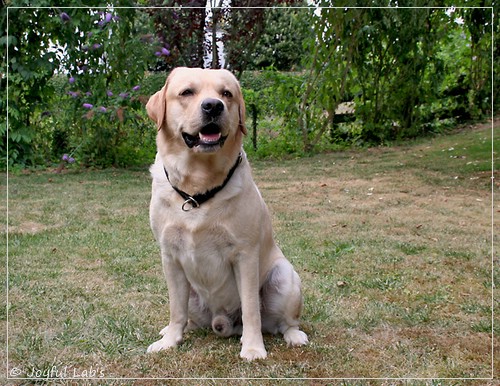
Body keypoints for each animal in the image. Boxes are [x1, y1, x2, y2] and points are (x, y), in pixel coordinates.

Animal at [146, 68, 308, 360]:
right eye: (187, 92)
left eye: (226, 94)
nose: (213, 106)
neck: (197, 191)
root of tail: (223, 320)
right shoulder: (170, 257)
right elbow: (176, 309)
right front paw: (170, 341)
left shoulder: (245, 255)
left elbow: (251, 309)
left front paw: (253, 348)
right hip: (193, 294)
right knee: (188, 316)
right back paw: (174, 330)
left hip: (284, 278)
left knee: (282, 322)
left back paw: (293, 335)